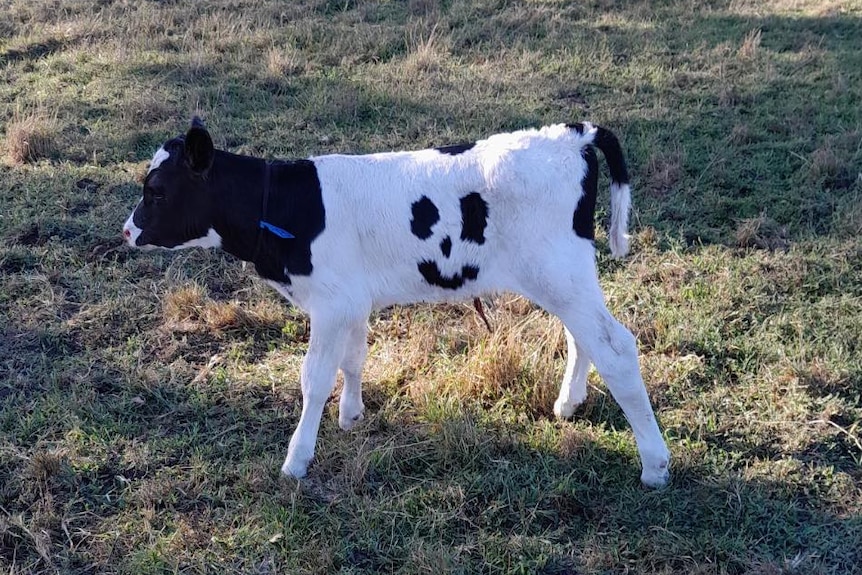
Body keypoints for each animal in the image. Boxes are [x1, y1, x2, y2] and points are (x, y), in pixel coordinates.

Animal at [125, 119, 672, 488]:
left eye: (156, 191)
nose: (128, 232)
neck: (286, 207)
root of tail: (572, 133)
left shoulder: (331, 302)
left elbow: (313, 379)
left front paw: (297, 460)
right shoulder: (351, 299)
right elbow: (353, 358)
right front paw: (351, 416)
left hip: (558, 273)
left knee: (616, 347)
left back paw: (655, 464)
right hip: (564, 277)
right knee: (586, 338)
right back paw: (568, 404)